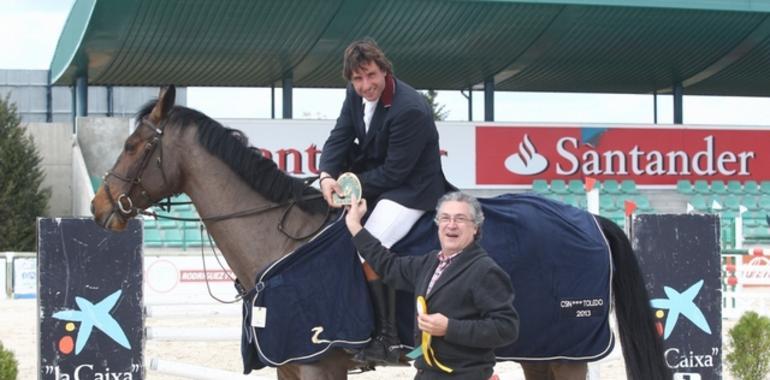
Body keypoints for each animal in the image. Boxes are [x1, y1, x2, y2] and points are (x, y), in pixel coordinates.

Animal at [88, 87, 664, 380]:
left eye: (136, 145)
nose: (99, 207)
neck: (282, 240)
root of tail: (591, 220)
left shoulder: (320, 364)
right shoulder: (289, 368)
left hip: (567, 355)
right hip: (539, 354)